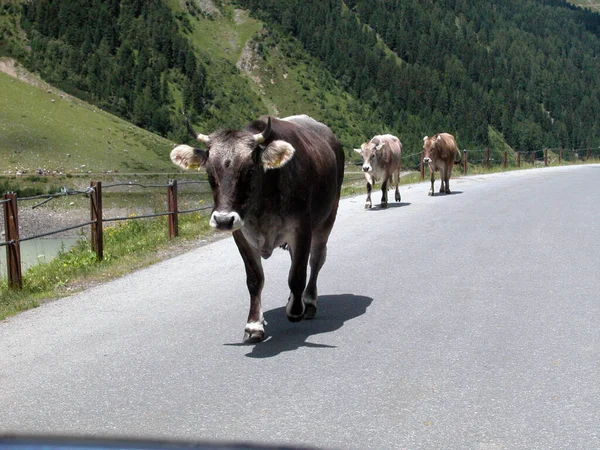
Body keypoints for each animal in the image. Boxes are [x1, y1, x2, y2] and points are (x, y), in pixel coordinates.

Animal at [171, 114, 344, 342]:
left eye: (250, 171)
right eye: (209, 173)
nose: (223, 220)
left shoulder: (301, 228)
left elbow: (297, 274)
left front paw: (295, 311)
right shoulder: (241, 233)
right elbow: (254, 280)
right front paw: (254, 325)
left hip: (328, 216)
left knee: (316, 259)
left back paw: (308, 302)